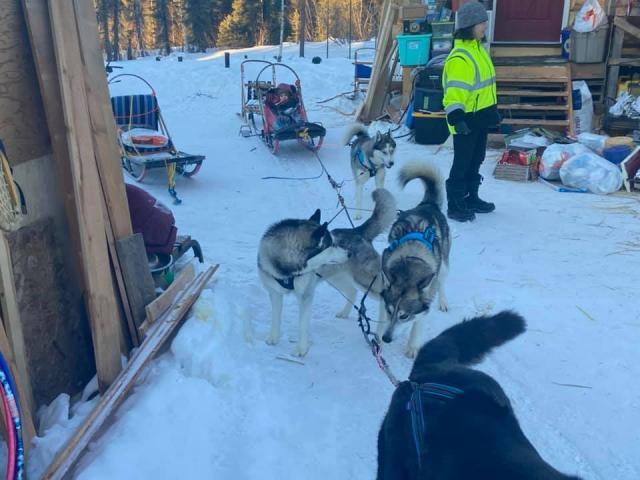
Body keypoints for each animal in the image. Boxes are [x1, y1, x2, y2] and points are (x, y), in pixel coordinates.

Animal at [258, 189, 396, 357]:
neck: (287, 270)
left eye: (334, 242)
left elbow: (302, 325)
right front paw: (274, 338)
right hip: (336, 278)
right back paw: (344, 312)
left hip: (365, 280)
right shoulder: (274, 292)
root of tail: (358, 231)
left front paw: (301, 349)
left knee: (385, 295)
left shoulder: (306, 295)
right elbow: (275, 318)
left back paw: (381, 331)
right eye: (331, 245)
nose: (349, 253)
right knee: (352, 291)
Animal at [380, 162, 450, 358]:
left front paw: (412, 346)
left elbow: (417, 325)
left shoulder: (425, 303)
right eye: (390, 311)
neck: (410, 261)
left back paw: (443, 301)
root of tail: (428, 205)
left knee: (442, 283)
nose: (386, 339)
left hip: (444, 266)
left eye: (404, 316)